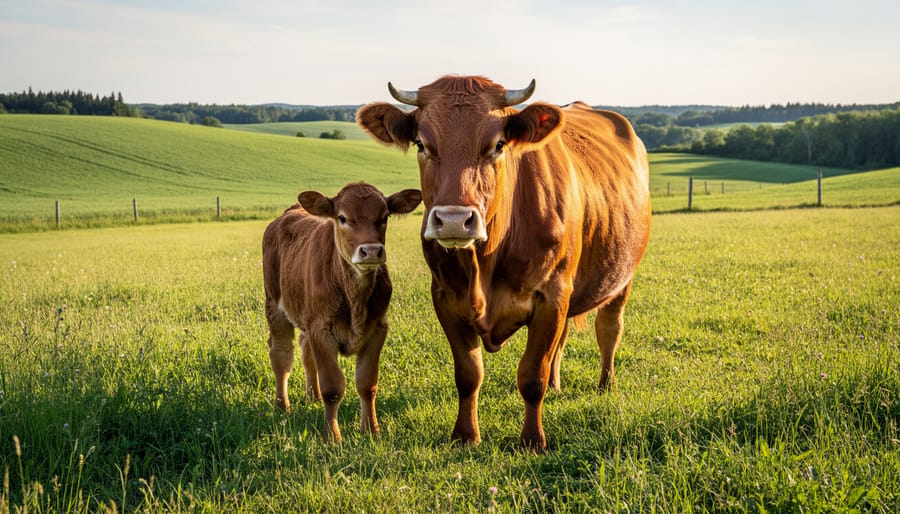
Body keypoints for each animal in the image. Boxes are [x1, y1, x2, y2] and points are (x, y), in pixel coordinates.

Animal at [262, 182, 422, 442]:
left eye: (385, 216)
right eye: (342, 217)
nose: (371, 251)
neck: (355, 297)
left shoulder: (377, 329)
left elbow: (367, 384)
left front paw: (371, 430)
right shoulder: (321, 330)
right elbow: (332, 388)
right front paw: (332, 436)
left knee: (305, 350)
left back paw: (312, 396)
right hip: (275, 306)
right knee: (281, 356)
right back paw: (282, 405)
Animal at [356, 76, 651, 450]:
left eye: (497, 145)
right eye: (422, 143)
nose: (454, 221)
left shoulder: (551, 295)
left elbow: (532, 375)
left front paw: (532, 440)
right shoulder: (446, 297)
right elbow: (469, 374)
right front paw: (465, 435)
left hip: (622, 276)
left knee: (609, 329)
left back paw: (605, 385)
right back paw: (558, 385)